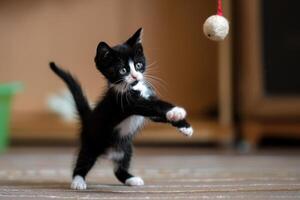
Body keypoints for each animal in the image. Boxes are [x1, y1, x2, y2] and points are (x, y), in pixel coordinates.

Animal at [49, 27, 193, 189]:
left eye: (138, 65)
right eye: (123, 70)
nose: (135, 77)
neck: (134, 88)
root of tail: (88, 118)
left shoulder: (147, 105)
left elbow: (159, 113)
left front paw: (184, 126)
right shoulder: (128, 104)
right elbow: (155, 105)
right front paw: (177, 111)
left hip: (126, 147)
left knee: (119, 169)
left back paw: (131, 179)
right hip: (91, 143)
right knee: (83, 161)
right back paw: (78, 181)